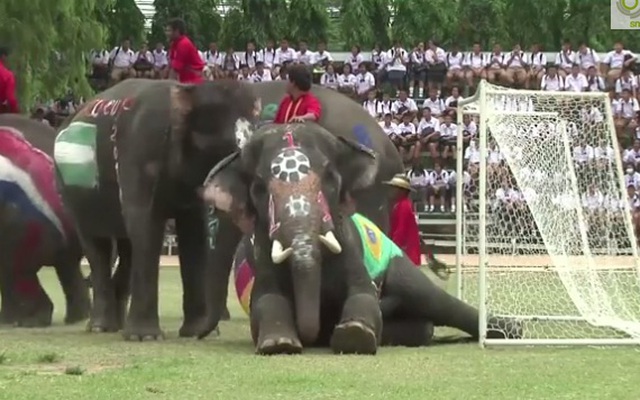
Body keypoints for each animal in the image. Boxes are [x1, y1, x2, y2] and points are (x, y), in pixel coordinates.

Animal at [52, 77, 258, 338]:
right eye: (219, 147)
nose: (206, 333)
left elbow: (194, 231)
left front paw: (193, 332)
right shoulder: (139, 150)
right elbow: (146, 223)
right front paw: (145, 336)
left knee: (127, 248)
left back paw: (118, 325)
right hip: (71, 192)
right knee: (96, 244)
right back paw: (101, 327)